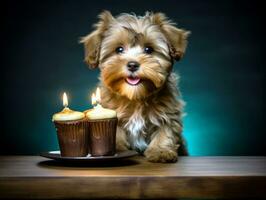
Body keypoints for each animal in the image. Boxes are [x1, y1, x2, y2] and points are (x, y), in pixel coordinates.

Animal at [80, 10, 190, 162]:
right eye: (119, 49)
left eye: (148, 49)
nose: (132, 64)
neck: (136, 96)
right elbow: (117, 135)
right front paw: (119, 150)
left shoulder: (168, 113)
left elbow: (165, 130)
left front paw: (161, 151)